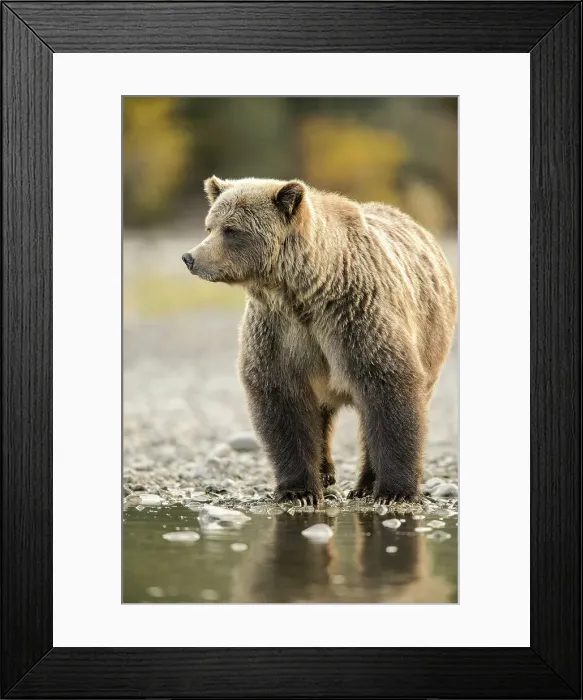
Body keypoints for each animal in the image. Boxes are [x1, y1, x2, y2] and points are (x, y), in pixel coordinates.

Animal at [182, 176, 457, 505]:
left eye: (231, 229)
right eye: (209, 226)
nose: (190, 257)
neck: (303, 293)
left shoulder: (357, 318)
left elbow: (390, 392)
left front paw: (394, 492)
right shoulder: (279, 331)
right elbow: (282, 403)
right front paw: (299, 491)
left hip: (431, 338)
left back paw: (365, 483)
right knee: (321, 415)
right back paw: (326, 474)